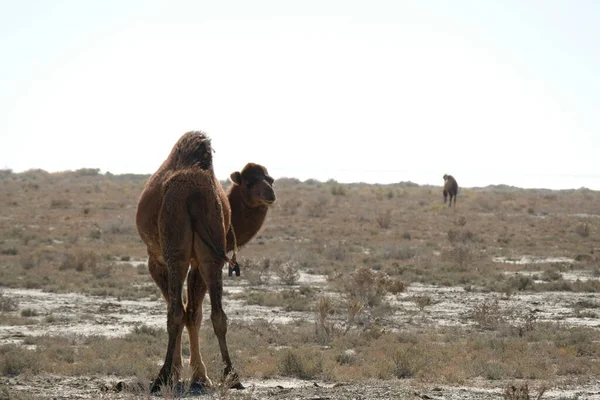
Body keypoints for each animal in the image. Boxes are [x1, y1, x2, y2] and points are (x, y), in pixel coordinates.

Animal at [135, 130, 276, 390]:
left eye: (270, 179)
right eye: (250, 183)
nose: (270, 194)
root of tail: (194, 196)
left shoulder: (158, 261)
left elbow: (184, 310)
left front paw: (184, 372)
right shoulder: (193, 261)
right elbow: (193, 312)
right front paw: (195, 374)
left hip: (176, 252)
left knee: (176, 313)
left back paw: (162, 377)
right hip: (209, 253)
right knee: (216, 315)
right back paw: (233, 376)